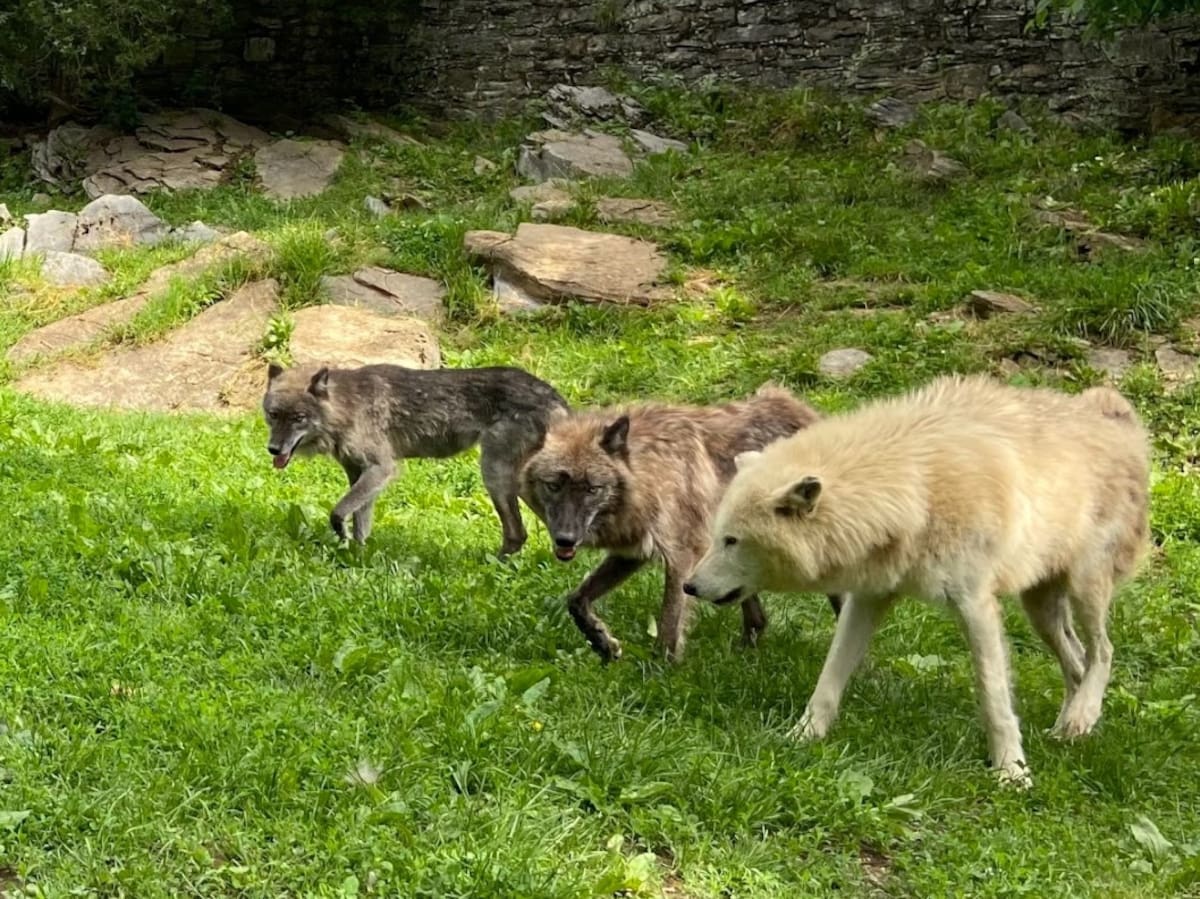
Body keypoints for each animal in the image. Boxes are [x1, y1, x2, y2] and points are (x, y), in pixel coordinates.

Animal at [263, 362, 568, 555]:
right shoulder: (359, 473)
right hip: (524, 486)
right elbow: (361, 522)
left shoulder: (382, 468)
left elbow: (338, 513)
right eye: (273, 415)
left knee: (518, 533)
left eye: (298, 418)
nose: (274, 449)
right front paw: (358, 557)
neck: (348, 406)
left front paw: (345, 541)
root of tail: (555, 396)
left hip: (494, 474)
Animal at [520, 384, 843, 662]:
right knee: (758, 619)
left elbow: (669, 625)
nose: (565, 538)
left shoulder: (683, 555)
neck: (648, 472)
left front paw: (659, 677)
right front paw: (603, 643)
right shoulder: (631, 552)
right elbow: (575, 599)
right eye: (553, 486)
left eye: (592, 489)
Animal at [684, 375, 1151, 787]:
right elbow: (829, 678)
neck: (915, 487)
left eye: (731, 540)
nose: (689, 585)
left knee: (1103, 651)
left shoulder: (975, 604)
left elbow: (993, 696)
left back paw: (1081, 717)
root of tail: (1118, 417)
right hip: (1040, 608)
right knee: (1077, 660)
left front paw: (1012, 772)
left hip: (1085, 586)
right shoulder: (868, 598)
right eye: (717, 536)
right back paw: (1067, 730)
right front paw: (801, 737)